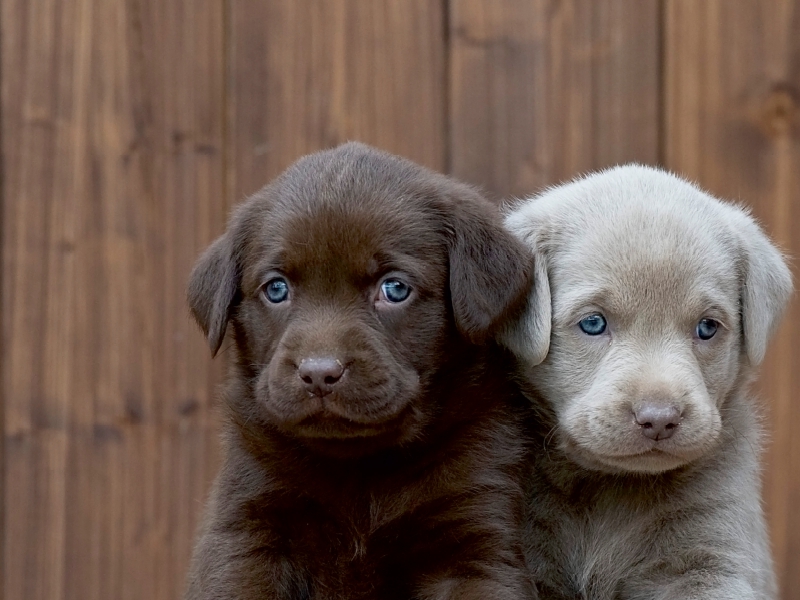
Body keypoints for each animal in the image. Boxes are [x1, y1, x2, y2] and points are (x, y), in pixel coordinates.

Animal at [185, 143, 536, 596]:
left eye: (395, 288)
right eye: (276, 289)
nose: (319, 373)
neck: (360, 471)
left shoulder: (474, 540)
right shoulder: (248, 527)